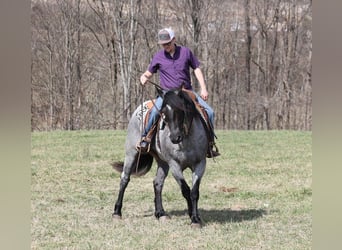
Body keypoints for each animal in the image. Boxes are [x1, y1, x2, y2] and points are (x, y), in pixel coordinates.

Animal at [112, 86, 208, 227]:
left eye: (181, 109)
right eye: (163, 112)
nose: (174, 137)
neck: (187, 139)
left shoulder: (200, 164)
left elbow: (194, 192)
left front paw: (195, 218)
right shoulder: (174, 165)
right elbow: (185, 190)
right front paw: (192, 215)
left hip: (162, 162)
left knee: (157, 183)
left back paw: (160, 213)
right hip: (131, 153)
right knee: (124, 179)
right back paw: (117, 212)